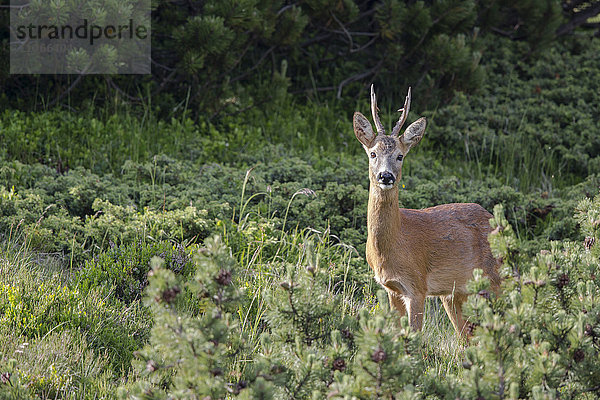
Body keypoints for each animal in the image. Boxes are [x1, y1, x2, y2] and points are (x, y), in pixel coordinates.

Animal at [356, 85, 502, 338]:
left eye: (400, 156)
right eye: (373, 153)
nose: (386, 176)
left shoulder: (417, 285)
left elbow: (414, 336)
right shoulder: (391, 289)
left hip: (498, 277)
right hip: (455, 294)